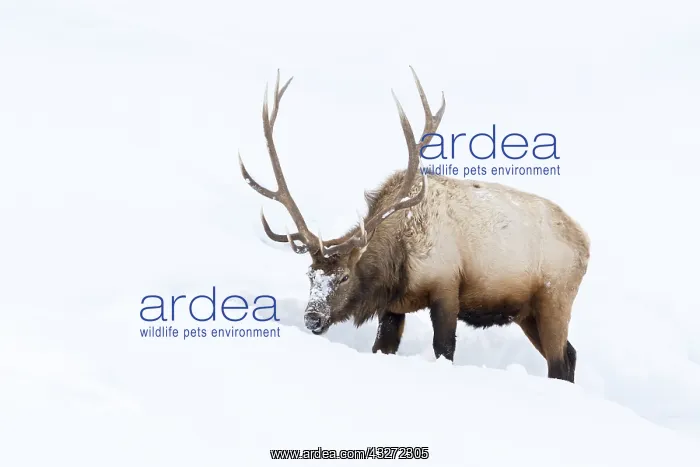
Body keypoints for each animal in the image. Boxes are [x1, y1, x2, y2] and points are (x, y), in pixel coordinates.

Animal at [238, 68, 590, 383]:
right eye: (310, 274)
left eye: (343, 277)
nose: (313, 317)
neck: (398, 260)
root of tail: (585, 243)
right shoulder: (393, 307)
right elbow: (382, 347)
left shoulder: (446, 287)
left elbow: (444, 348)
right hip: (527, 312)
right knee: (571, 354)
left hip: (555, 299)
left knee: (559, 362)